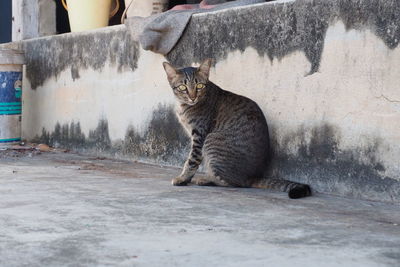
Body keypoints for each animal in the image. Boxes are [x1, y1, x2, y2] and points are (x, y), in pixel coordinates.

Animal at [161, 59, 310, 199]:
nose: (192, 97)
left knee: (234, 183)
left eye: (199, 86)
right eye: (182, 87)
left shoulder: (199, 134)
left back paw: (206, 179)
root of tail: (252, 176)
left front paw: (183, 178)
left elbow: (192, 160)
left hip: (212, 140)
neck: (184, 106)